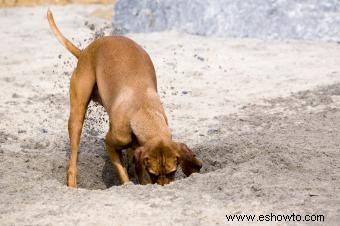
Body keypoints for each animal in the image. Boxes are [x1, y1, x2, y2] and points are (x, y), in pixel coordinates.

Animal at [47, 9, 202, 186]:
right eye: (153, 173)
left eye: (173, 171)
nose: (162, 188)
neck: (143, 110)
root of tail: (85, 51)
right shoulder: (111, 143)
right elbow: (124, 175)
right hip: (77, 114)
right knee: (73, 155)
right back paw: (72, 183)